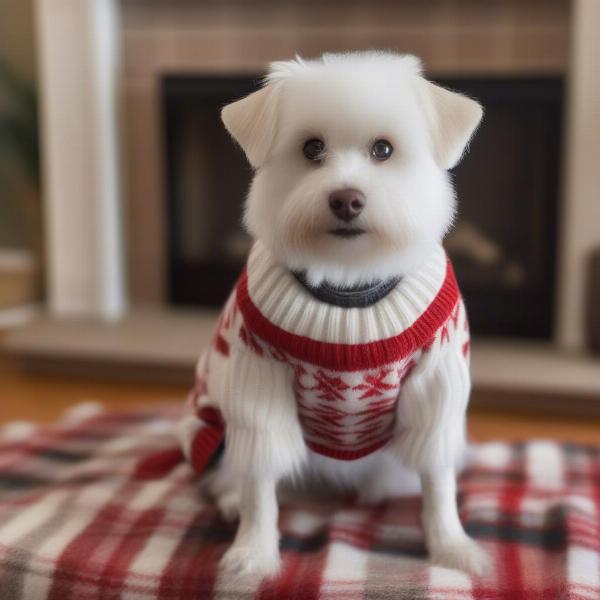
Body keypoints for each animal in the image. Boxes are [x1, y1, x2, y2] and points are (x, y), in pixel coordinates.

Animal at [178, 52, 488, 580]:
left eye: (384, 149)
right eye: (312, 148)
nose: (346, 199)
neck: (349, 290)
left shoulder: (436, 387)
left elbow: (438, 482)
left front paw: (452, 546)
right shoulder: (258, 385)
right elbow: (260, 486)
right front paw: (253, 553)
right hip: (214, 427)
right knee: (229, 474)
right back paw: (231, 501)